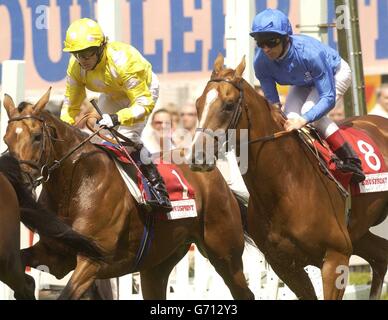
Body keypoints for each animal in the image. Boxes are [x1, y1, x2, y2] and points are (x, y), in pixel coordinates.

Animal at [191, 53, 388, 298]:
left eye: (228, 105)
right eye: (198, 104)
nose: (197, 156)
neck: (287, 185)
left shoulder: (336, 257)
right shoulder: (286, 266)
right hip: (358, 233)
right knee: (381, 256)